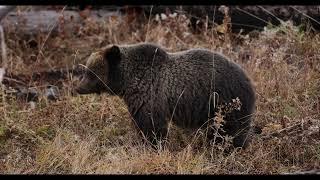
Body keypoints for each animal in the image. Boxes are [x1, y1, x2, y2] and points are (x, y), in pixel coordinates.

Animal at [75, 43, 255, 148]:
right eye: (86, 70)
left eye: (90, 72)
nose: (78, 88)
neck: (127, 80)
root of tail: (248, 80)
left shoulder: (149, 96)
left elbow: (151, 125)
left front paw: (153, 145)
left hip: (223, 101)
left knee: (228, 130)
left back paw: (226, 148)